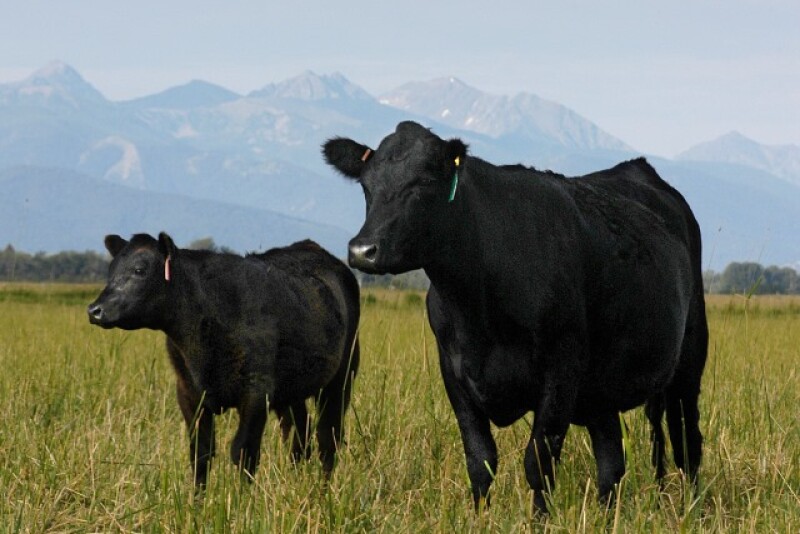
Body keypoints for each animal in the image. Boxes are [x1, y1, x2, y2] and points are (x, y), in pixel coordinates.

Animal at [87, 233, 360, 485]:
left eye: (139, 270)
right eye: (111, 271)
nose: (94, 310)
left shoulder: (256, 392)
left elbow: (243, 452)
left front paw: (242, 502)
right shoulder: (188, 394)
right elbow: (200, 454)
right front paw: (197, 503)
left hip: (341, 379)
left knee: (328, 438)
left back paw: (323, 490)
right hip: (291, 391)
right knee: (299, 436)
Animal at [323, 121, 707, 514]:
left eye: (424, 182)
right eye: (366, 185)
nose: (363, 250)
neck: (477, 311)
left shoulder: (561, 369)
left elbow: (538, 462)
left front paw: (539, 519)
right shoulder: (454, 373)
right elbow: (480, 461)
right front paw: (478, 518)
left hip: (689, 361)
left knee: (687, 443)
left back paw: (690, 510)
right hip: (601, 391)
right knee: (611, 460)